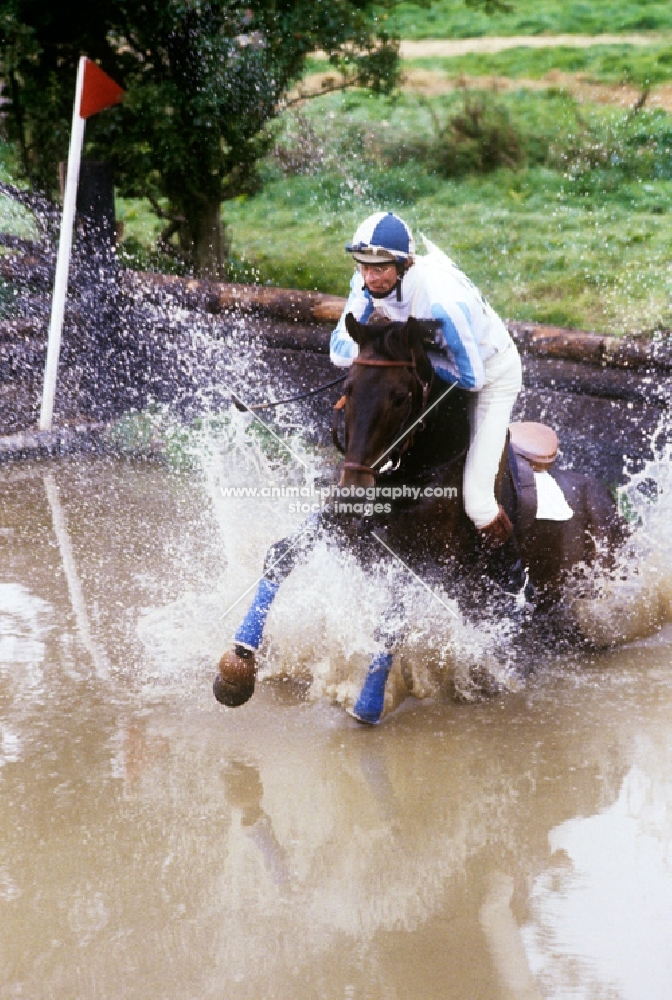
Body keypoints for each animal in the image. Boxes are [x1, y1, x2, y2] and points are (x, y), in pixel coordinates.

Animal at [215, 312, 624, 720]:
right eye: (349, 387)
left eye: (400, 398)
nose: (354, 490)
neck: (412, 472)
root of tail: (606, 497)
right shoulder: (345, 529)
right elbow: (280, 556)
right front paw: (238, 666)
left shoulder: (425, 563)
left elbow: (392, 621)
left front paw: (368, 705)